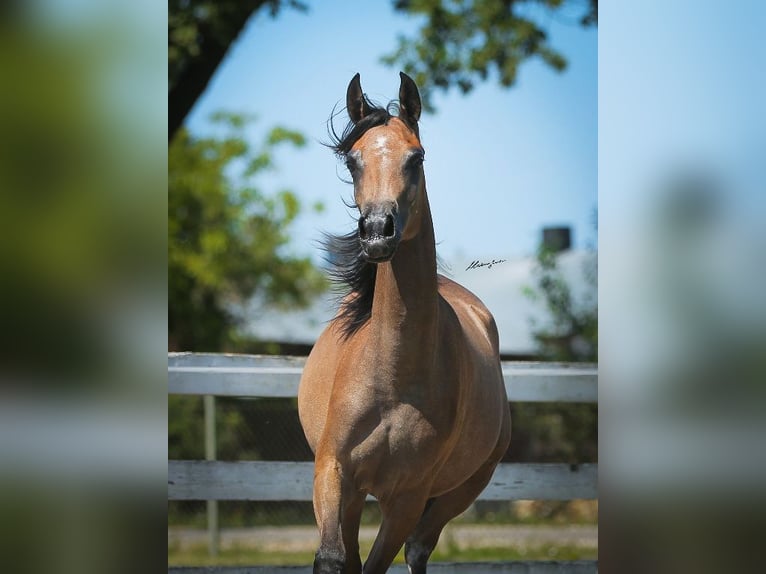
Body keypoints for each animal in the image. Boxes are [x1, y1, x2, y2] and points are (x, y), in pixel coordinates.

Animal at [296, 73, 512, 574]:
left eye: (417, 157)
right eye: (352, 160)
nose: (378, 231)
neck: (392, 380)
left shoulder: (407, 497)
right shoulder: (334, 473)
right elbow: (333, 560)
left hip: (462, 489)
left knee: (419, 548)